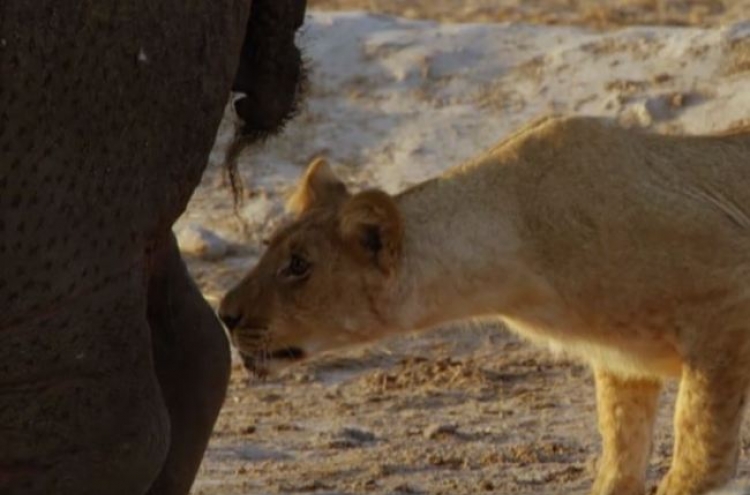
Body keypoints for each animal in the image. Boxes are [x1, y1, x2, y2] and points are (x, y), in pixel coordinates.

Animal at [220, 117, 750, 495]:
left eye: (299, 265)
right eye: (269, 247)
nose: (225, 314)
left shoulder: (727, 296)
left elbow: (699, 457)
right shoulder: (623, 363)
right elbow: (620, 459)